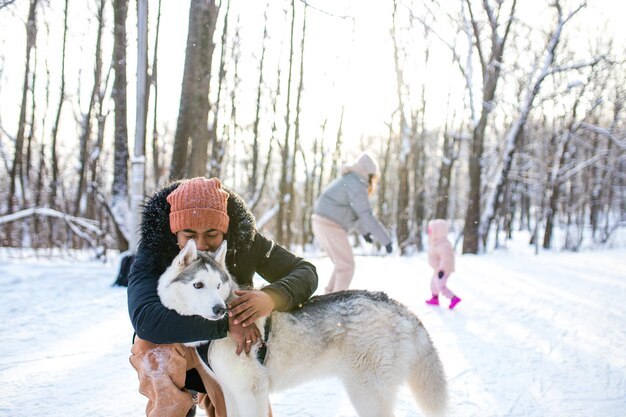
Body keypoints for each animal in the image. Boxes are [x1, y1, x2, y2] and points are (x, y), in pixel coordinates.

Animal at [158, 240, 446, 416]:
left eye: (218, 285)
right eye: (198, 285)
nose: (220, 310)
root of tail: (400, 308)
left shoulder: (251, 390)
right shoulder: (231, 390)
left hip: (366, 393)